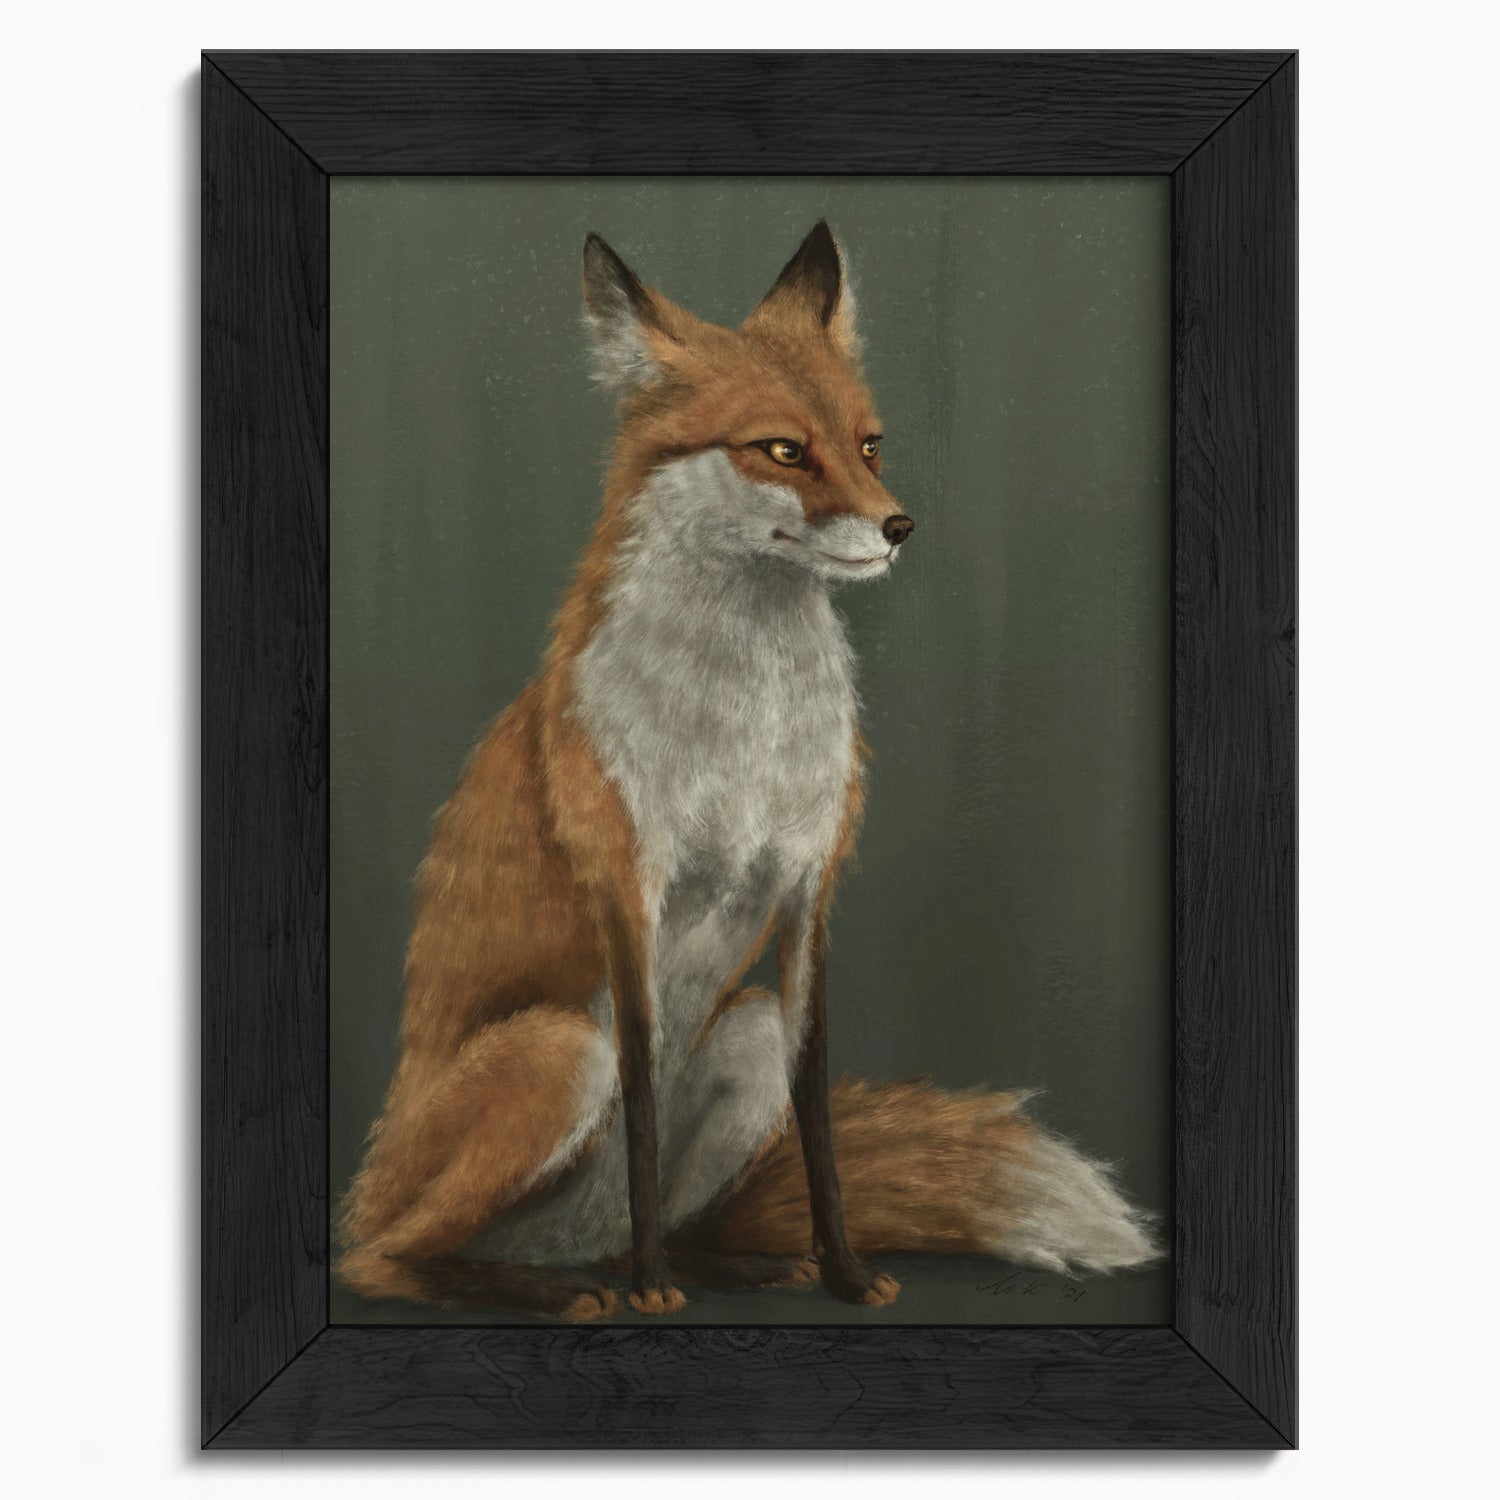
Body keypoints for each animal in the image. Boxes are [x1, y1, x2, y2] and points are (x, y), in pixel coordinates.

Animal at [336, 221, 1158, 1321]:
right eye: (781, 450)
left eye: (868, 443)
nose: (899, 526)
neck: (747, 731)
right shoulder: (628, 891)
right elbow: (642, 1102)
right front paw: (652, 1293)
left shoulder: (810, 889)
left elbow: (817, 1115)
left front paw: (844, 1271)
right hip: (559, 1051)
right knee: (383, 1259)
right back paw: (566, 1287)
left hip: (745, 1032)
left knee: (670, 1216)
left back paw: (725, 1263)